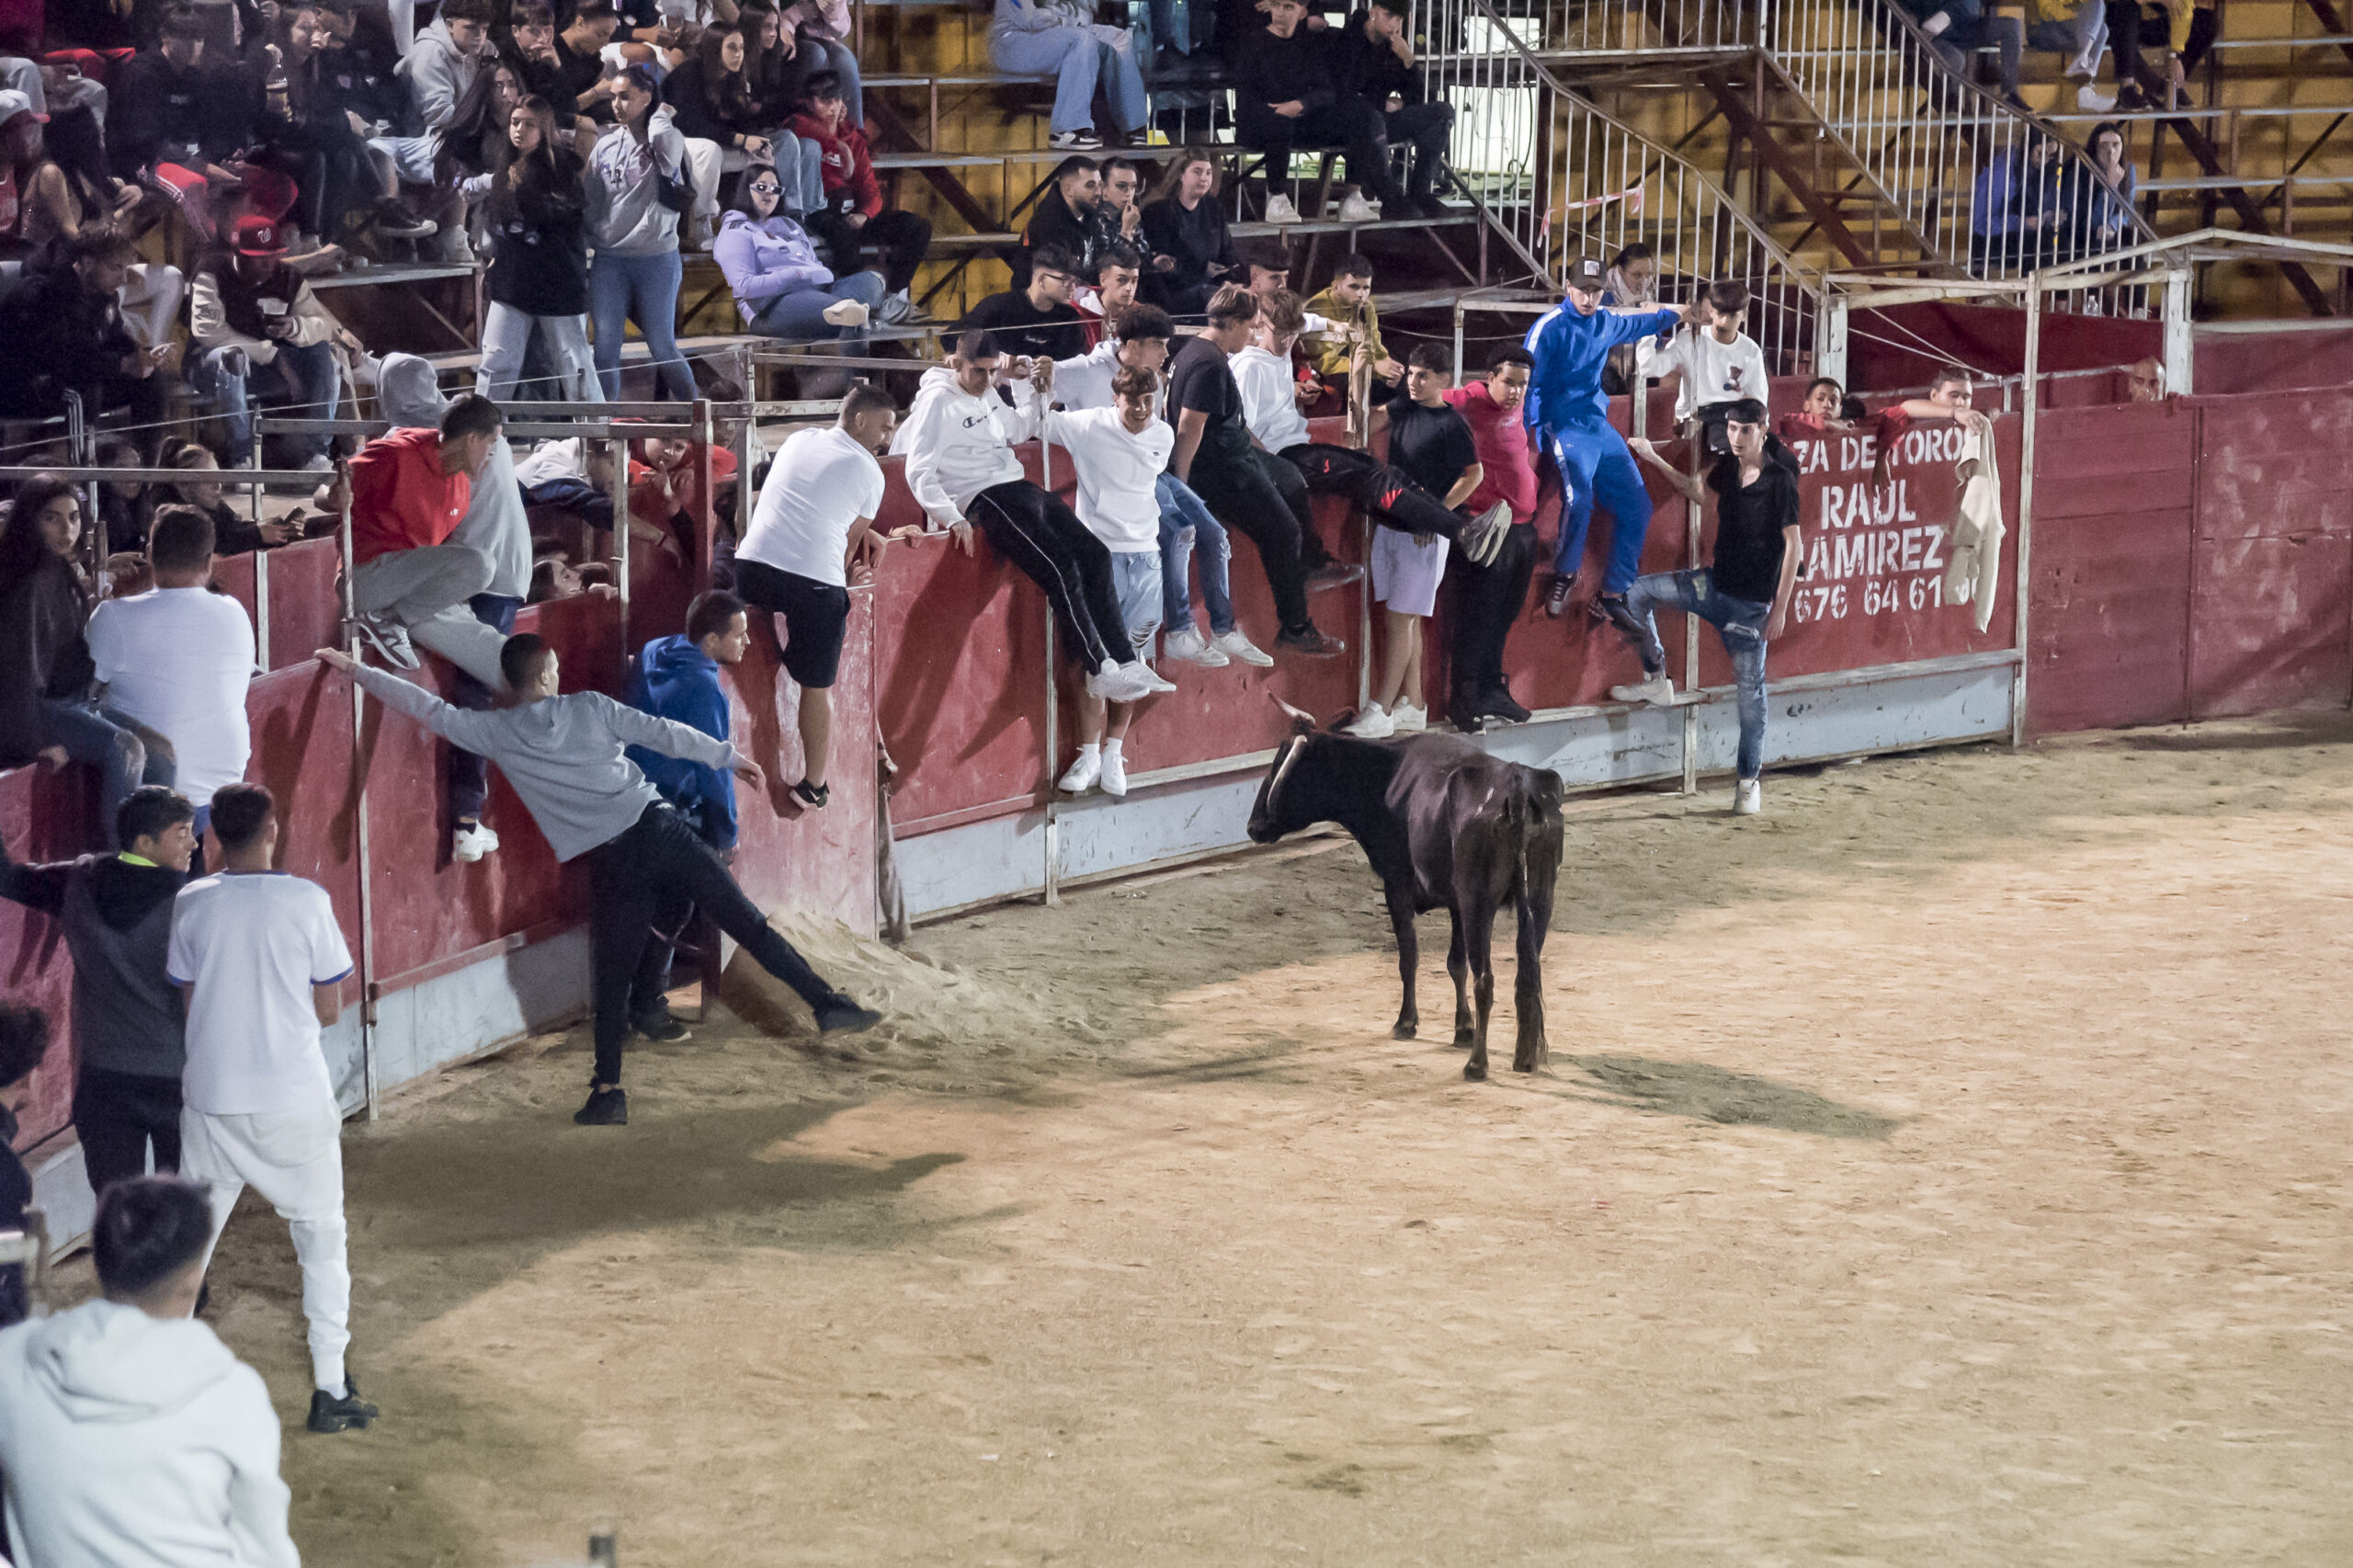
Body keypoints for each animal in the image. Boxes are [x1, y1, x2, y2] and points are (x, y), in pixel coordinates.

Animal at [1251, 710, 1562, 1068]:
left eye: (1283, 764)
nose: (1253, 826)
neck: (1387, 778)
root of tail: (1517, 786)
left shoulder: (1397, 886)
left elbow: (1409, 957)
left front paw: (1406, 1022)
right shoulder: (1455, 902)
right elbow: (1456, 964)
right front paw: (1462, 1028)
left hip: (1479, 903)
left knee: (1487, 979)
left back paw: (1477, 1064)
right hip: (1540, 901)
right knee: (1528, 972)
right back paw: (1525, 1057)